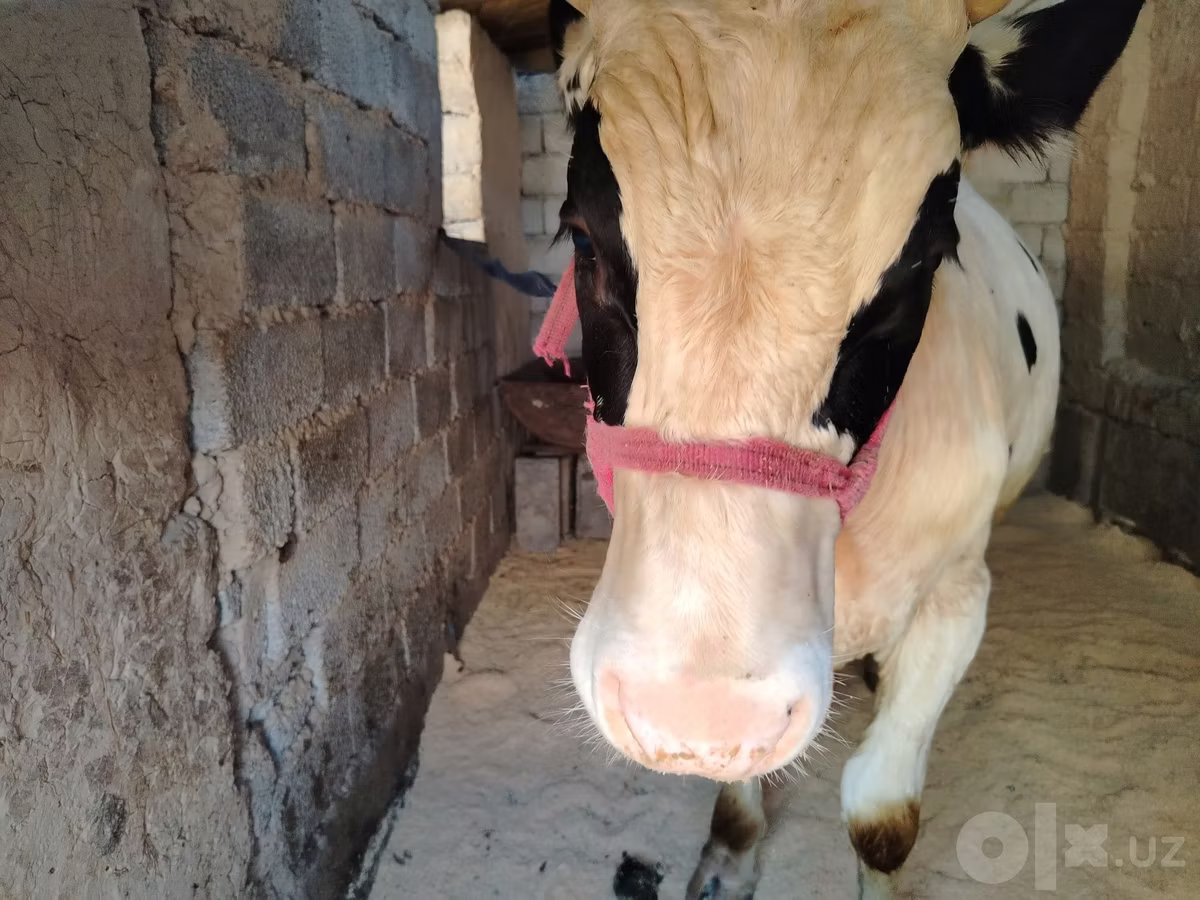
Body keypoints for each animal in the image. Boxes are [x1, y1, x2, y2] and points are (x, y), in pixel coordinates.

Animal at [539, 0, 1145, 896]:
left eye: (920, 264)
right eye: (582, 237)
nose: (693, 711)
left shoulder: (959, 594)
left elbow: (881, 814)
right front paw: (729, 853)